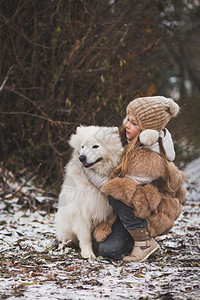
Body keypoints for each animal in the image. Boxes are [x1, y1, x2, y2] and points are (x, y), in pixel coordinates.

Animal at [55, 125, 123, 258]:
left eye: (95, 146)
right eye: (82, 146)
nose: (82, 157)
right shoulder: (82, 212)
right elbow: (85, 236)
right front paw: (88, 254)